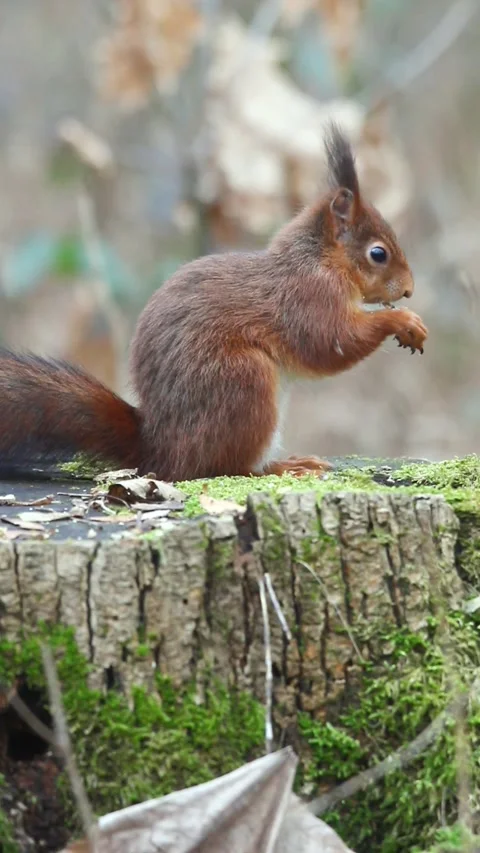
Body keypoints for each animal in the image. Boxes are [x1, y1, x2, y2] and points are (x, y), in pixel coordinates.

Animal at [0, 124, 427, 481]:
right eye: (378, 254)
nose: (408, 290)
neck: (319, 260)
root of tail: (159, 450)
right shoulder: (307, 297)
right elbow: (330, 342)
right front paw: (403, 322)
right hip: (243, 382)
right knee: (225, 468)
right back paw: (282, 466)